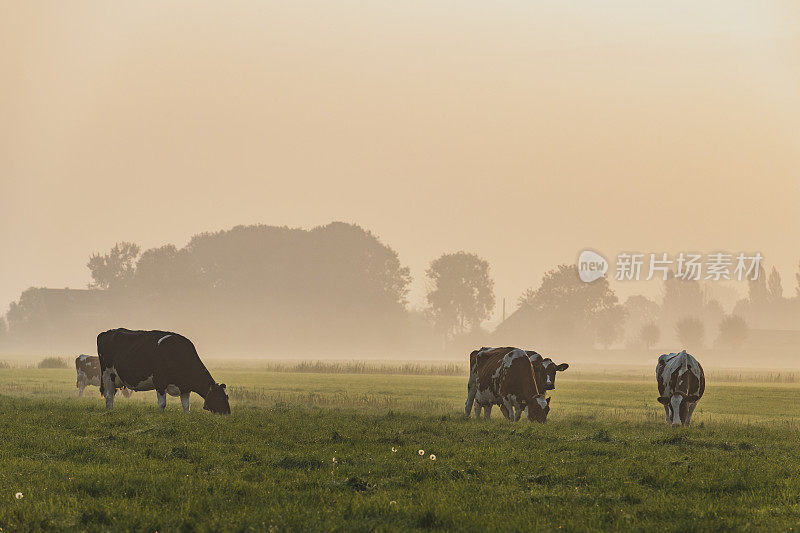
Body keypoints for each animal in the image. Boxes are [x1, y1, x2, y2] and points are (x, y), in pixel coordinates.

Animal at [96, 326, 231, 414]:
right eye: (219, 397)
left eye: (227, 397)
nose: (227, 413)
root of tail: (106, 332)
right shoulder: (159, 381)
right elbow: (162, 404)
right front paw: (161, 416)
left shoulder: (185, 388)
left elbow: (186, 406)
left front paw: (186, 417)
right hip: (107, 374)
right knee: (109, 395)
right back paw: (110, 412)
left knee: (111, 394)